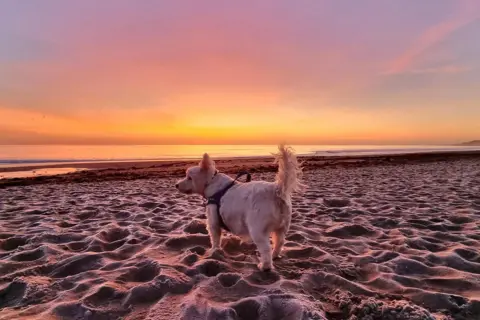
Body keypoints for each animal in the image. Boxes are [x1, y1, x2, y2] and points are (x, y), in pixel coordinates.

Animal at [174, 144, 302, 270]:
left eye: (189, 177)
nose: (176, 185)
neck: (212, 183)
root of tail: (277, 190)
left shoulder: (213, 222)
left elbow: (215, 239)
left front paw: (214, 251)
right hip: (282, 228)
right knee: (279, 242)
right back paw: (275, 255)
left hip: (257, 230)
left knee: (266, 249)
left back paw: (264, 266)